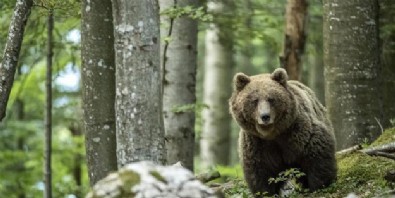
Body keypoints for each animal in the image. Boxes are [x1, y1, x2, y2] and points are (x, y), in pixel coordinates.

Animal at [230, 68, 338, 196]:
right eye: (254, 100)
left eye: (271, 99)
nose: (265, 116)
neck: (273, 134)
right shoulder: (257, 143)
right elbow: (260, 171)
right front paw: (265, 192)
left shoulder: (297, 132)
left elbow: (316, 153)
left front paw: (319, 185)